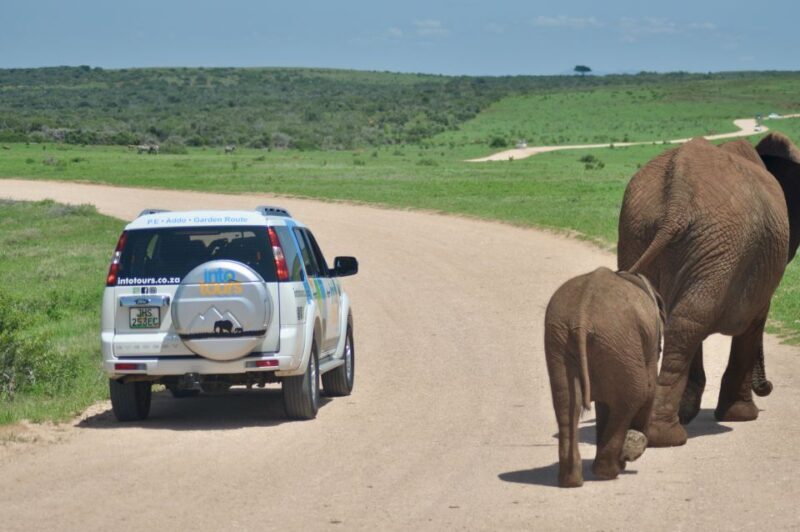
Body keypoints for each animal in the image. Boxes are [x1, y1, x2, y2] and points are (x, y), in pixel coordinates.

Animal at [544, 267, 663, 487]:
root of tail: (581, 316)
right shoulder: (648, 343)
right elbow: (650, 389)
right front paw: (631, 452)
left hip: (560, 342)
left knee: (566, 403)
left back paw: (571, 480)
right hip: (620, 343)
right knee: (632, 398)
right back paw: (607, 472)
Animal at [618, 132, 800, 447]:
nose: (768, 387)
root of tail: (676, 202)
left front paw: (689, 411)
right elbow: (753, 323)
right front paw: (741, 416)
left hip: (641, 230)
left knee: (678, 319)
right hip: (717, 243)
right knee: (688, 323)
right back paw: (666, 436)